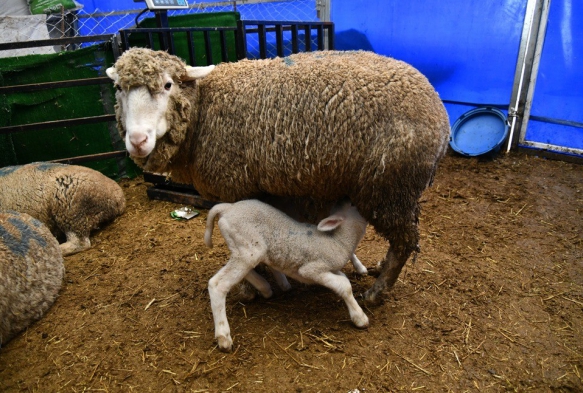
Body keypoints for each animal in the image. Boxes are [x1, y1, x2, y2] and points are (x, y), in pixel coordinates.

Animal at [106, 46, 452, 304]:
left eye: (167, 85)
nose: (137, 140)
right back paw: (379, 270)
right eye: (119, 88)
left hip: (389, 186)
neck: (204, 109)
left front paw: (250, 288)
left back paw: (378, 292)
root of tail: (437, 105)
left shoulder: (236, 187)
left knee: (405, 241)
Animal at [205, 199, 370, 352]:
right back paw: (223, 337)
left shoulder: (332, 269)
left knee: (245, 269)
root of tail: (228, 207)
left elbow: (343, 278)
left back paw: (266, 288)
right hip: (248, 246)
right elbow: (345, 285)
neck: (338, 240)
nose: (347, 199)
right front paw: (360, 317)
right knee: (217, 284)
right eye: (354, 205)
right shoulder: (312, 269)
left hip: (242, 248)